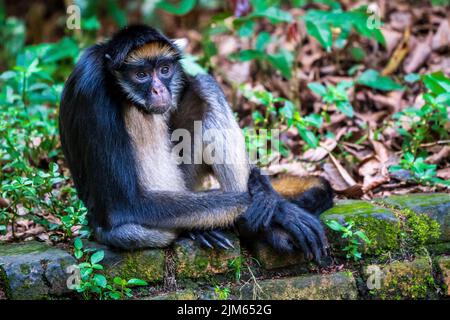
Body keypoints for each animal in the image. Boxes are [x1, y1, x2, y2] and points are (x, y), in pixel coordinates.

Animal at [59, 24, 334, 260]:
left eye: (164, 70)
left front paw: (266, 191)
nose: (159, 90)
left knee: (205, 86)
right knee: (128, 231)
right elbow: (126, 204)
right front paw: (281, 209)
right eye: (141, 74)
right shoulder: (92, 90)